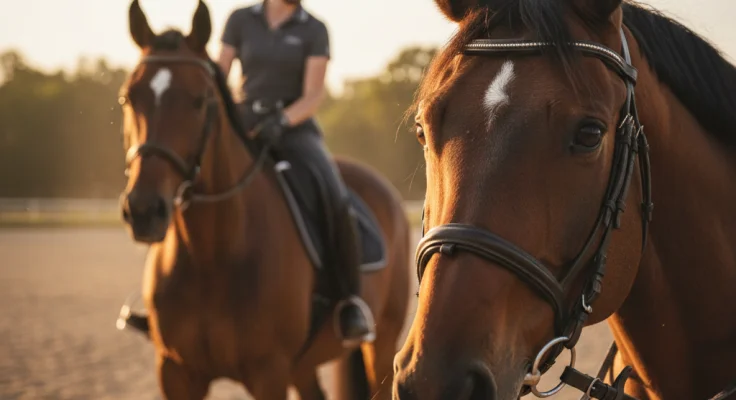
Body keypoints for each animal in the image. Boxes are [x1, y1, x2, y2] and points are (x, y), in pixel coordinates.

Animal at [115, 1, 411, 399]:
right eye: (128, 97)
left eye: (199, 100)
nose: (144, 210)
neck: (212, 255)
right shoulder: (175, 371)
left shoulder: (269, 372)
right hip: (303, 365)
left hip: (381, 343)